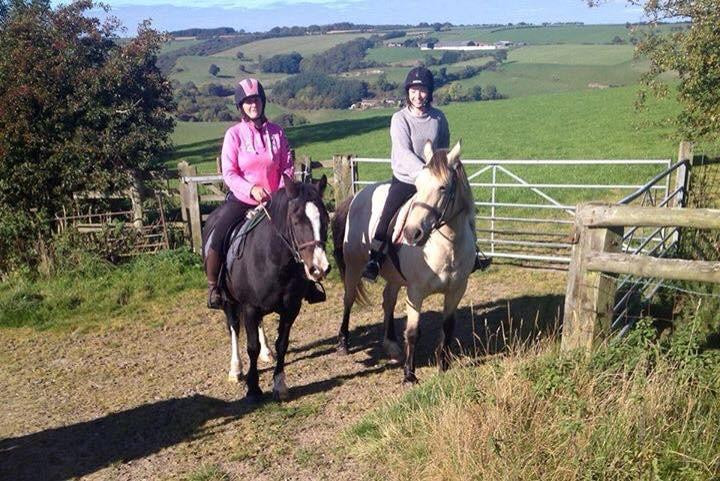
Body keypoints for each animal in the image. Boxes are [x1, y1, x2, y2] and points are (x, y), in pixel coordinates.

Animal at [334, 140, 478, 382]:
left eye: (443, 187)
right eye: (418, 185)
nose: (412, 233)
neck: (447, 248)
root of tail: (356, 196)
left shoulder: (457, 289)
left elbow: (448, 327)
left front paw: (444, 365)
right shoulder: (415, 292)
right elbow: (412, 333)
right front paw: (409, 374)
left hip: (394, 276)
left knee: (388, 300)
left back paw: (391, 344)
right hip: (353, 268)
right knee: (348, 300)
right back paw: (343, 342)